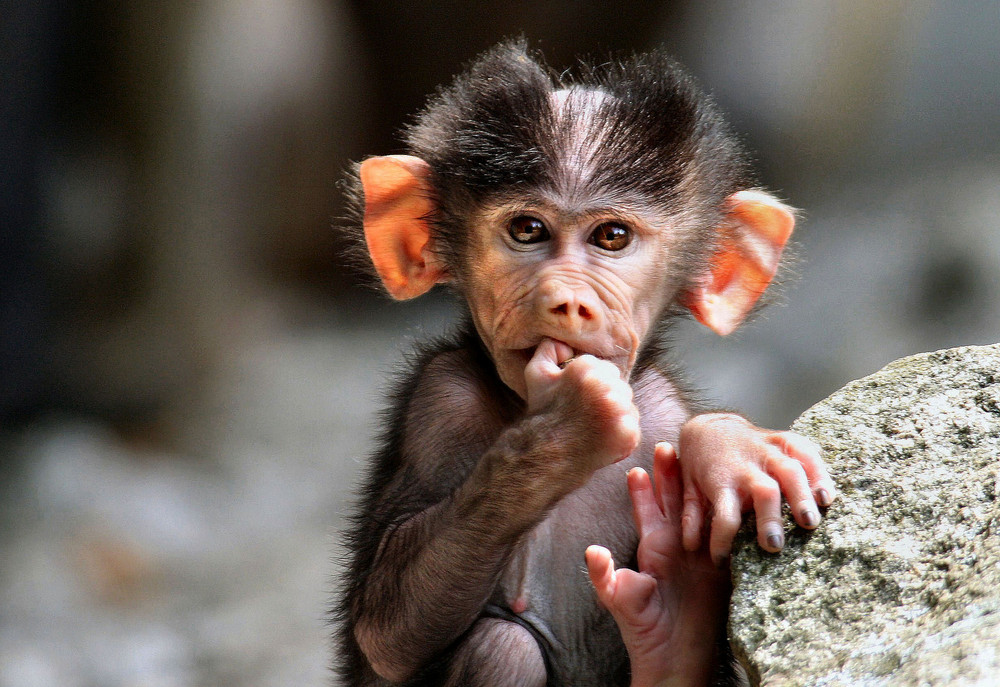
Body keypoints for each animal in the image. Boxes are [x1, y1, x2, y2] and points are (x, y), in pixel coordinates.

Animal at [336, 43, 836, 687]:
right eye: (528, 229)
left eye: (612, 236)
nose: (566, 300)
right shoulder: (439, 399)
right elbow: (384, 631)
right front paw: (565, 429)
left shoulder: (659, 403)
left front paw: (730, 448)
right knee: (502, 647)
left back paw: (676, 621)